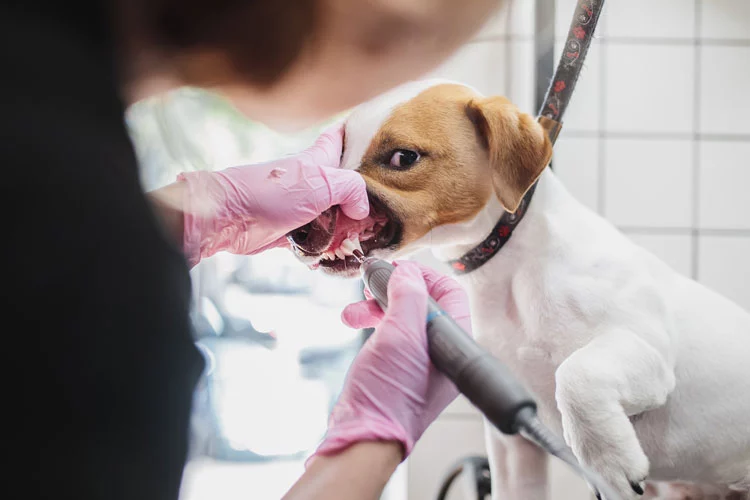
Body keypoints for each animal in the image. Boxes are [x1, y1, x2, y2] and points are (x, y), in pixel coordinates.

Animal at [288, 80, 750, 498]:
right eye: (340, 150)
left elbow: (576, 375)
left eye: (403, 157)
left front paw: (608, 460)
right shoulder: (513, 441)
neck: (510, 266)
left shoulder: (647, 350)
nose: (298, 229)